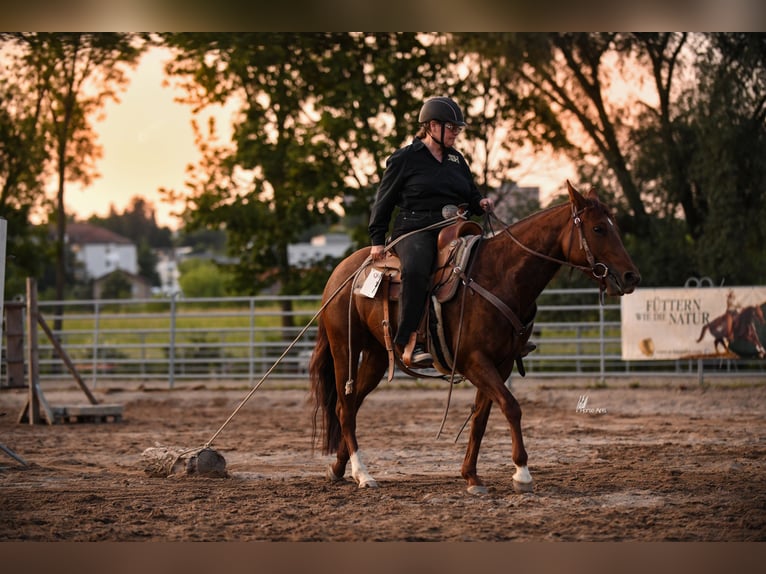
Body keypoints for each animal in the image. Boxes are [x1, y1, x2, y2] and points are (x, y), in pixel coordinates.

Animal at [309, 181, 641, 494]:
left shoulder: (500, 363)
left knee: (350, 405)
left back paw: (339, 468)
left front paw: (471, 476)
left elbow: (481, 416)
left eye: (614, 226)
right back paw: (363, 474)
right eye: (598, 228)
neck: (499, 276)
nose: (631, 277)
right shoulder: (474, 361)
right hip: (345, 349)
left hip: (377, 356)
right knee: (345, 406)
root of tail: (341, 272)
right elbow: (511, 406)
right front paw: (522, 474)